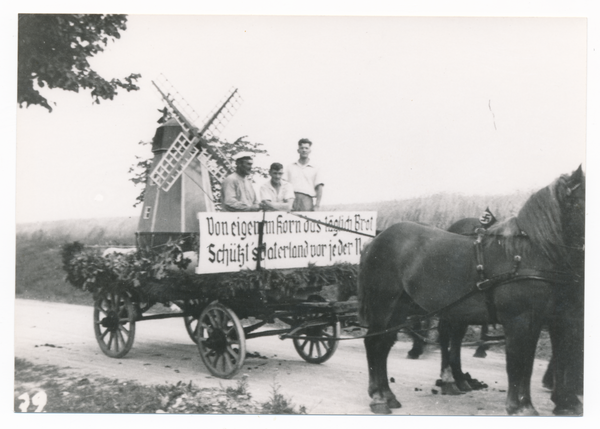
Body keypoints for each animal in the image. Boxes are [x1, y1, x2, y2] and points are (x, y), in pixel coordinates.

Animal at [358, 166, 584, 412]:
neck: (525, 254)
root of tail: (376, 239)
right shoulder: (520, 319)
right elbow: (518, 362)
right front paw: (521, 407)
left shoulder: (542, 319)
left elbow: (531, 362)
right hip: (384, 303)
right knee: (374, 342)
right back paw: (380, 398)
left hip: (401, 307)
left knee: (385, 343)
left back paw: (389, 394)